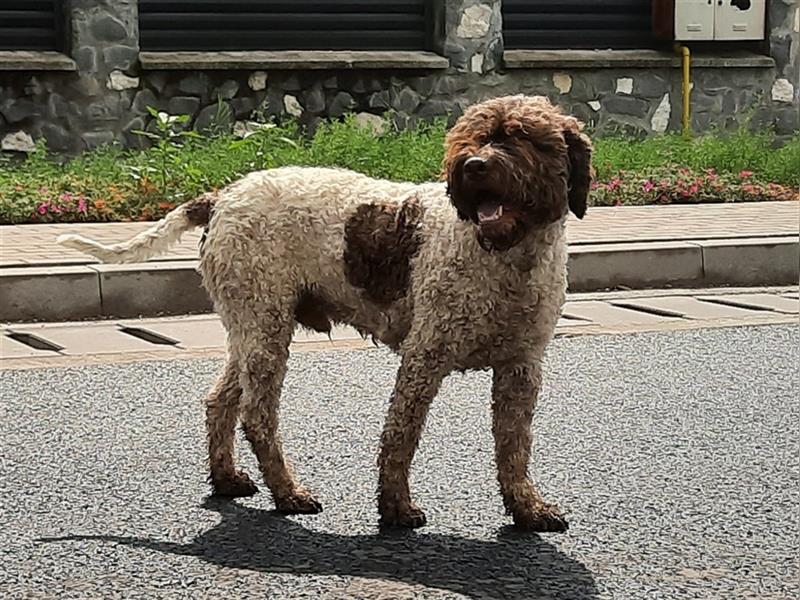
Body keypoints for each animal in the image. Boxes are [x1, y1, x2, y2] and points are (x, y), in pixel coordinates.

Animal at [59, 96, 592, 532]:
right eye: (473, 137)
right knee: (257, 416)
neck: (505, 255)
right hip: (266, 326)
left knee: (220, 401)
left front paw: (527, 509)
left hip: (252, 326)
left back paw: (227, 478)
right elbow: (401, 435)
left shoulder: (521, 368)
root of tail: (222, 196)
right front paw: (396, 509)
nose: (474, 165)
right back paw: (288, 493)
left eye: (523, 138)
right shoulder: (425, 356)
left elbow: (514, 447)